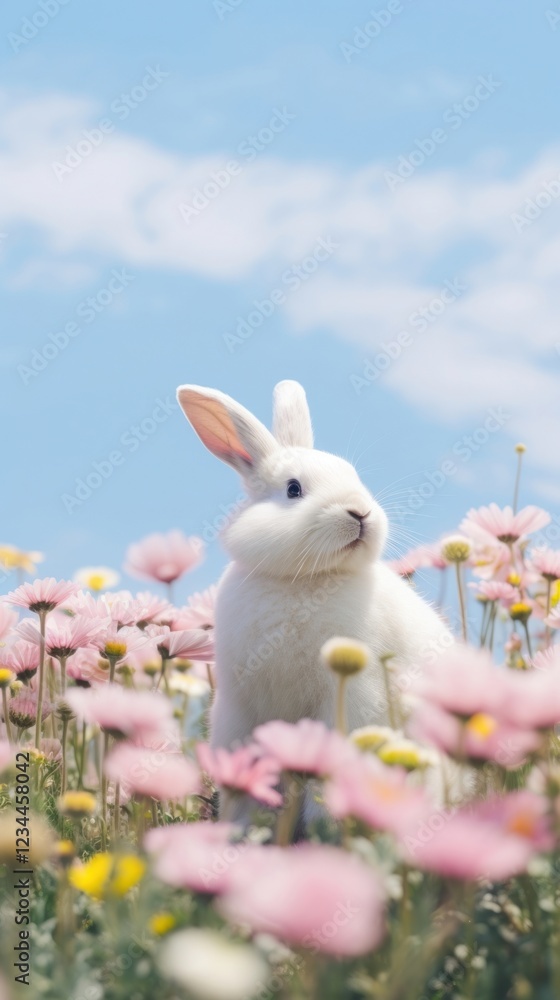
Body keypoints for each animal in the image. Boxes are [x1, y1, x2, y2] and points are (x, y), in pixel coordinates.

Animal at [176, 379, 451, 766]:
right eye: (294, 489)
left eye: (355, 476)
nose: (360, 512)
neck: (303, 579)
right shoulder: (238, 706)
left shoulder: (352, 692)